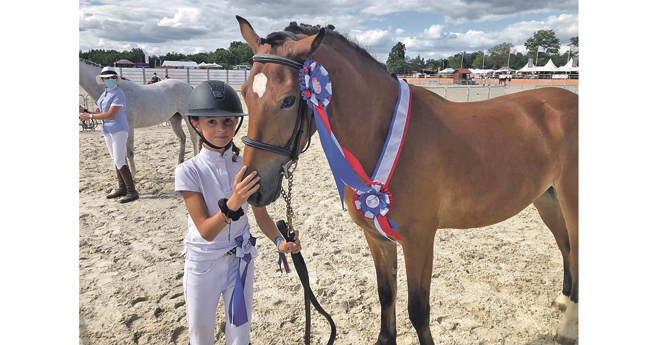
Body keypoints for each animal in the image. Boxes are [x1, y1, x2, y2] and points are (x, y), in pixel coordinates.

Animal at [236, 16, 576, 344]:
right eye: (244, 93)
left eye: (289, 100)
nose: (253, 187)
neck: (382, 134)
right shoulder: (377, 238)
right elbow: (386, 296)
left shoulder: (419, 240)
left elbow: (418, 311)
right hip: (547, 200)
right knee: (566, 247)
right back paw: (564, 300)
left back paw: (568, 329)